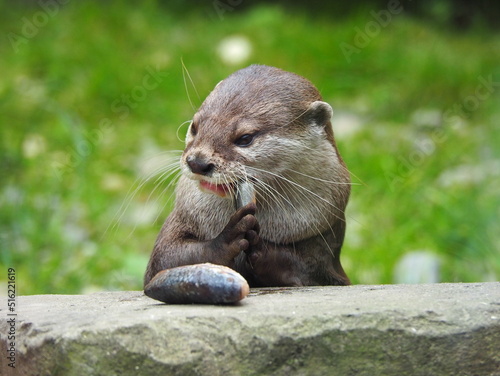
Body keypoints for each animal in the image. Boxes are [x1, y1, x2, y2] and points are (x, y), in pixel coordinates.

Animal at [143, 65, 350, 288]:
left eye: (245, 138)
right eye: (194, 127)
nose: (197, 162)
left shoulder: (326, 235)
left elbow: (311, 272)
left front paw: (261, 247)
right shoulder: (182, 218)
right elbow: (166, 259)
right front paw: (228, 237)